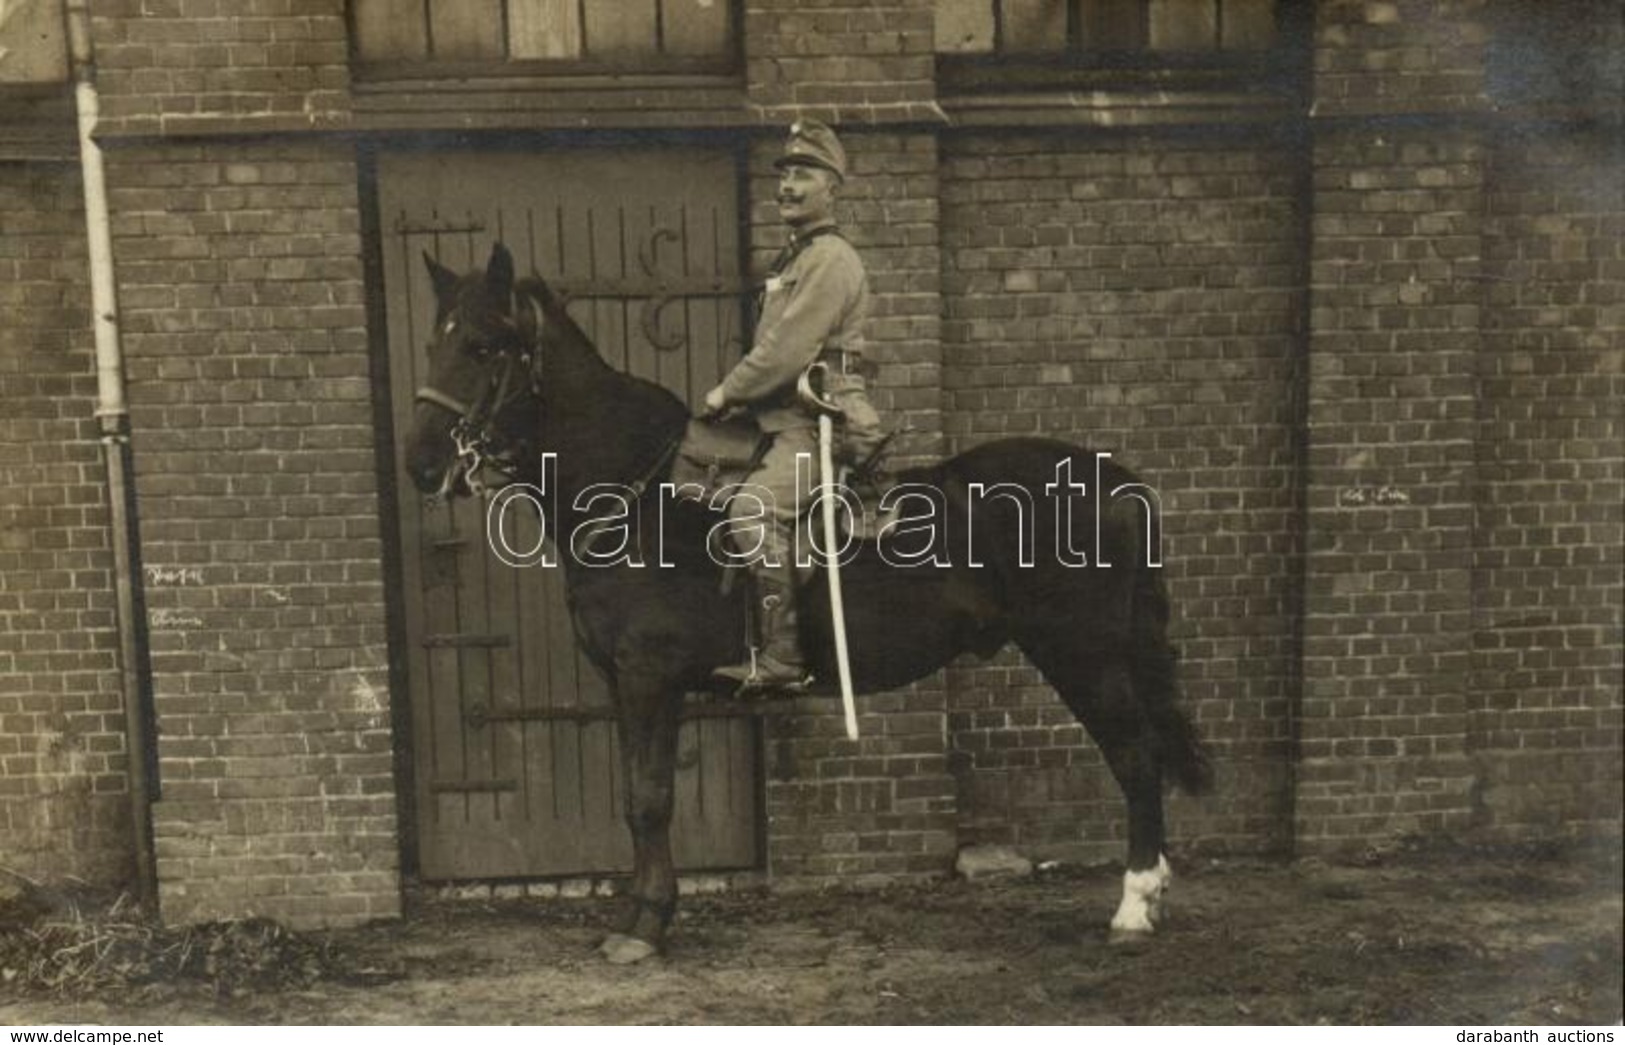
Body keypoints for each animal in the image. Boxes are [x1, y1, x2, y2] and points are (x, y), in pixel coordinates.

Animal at [406, 243, 1215, 962]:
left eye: (483, 345)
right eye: (433, 340)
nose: (421, 462)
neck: (635, 492)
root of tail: (1115, 479)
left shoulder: (648, 678)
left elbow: (650, 797)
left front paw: (647, 927)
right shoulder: (622, 684)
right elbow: (636, 800)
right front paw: (637, 917)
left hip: (1084, 654)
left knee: (1135, 754)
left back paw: (1133, 907)